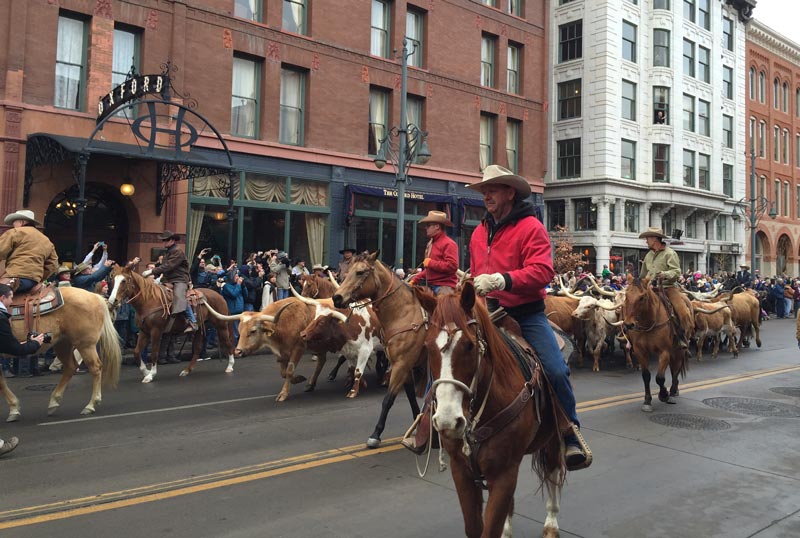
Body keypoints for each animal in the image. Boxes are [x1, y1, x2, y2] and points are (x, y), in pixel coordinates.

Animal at [0, 284, 122, 418]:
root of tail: (96, 296)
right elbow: (1, 382)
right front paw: (13, 408)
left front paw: (13, 408)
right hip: (63, 344)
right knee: (70, 367)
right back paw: (54, 401)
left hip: (85, 345)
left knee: (95, 368)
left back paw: (91, 405)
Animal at [334, 251, 440, 448]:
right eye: (347, 270)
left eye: (360, 272)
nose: (336, 298)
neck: (402, 314)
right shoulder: (404, 365)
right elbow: (411, 395)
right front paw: (416, 425)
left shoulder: (401, 364)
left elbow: (388, 399)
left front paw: (376, 434)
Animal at [424, 280, 564, 536]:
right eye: (427, 346)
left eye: (469, 346)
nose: (448, 420)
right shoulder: (461, 470)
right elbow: (474, 527)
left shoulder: (504, 472)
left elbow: (489, 529)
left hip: (552, 436)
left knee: (553, 470)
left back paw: (551, 524)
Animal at [620, 276, 692, 410]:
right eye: (626, 295)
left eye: (642, 297)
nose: (628, 324)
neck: (649, 322)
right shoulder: (640, 351)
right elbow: (646, 376)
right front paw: (647, 401)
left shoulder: (664, 351)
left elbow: (659, 378)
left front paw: (664, 394)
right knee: (674, 368)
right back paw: (675, 390)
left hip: (679, 350)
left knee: (676, 369)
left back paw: (673, 393)